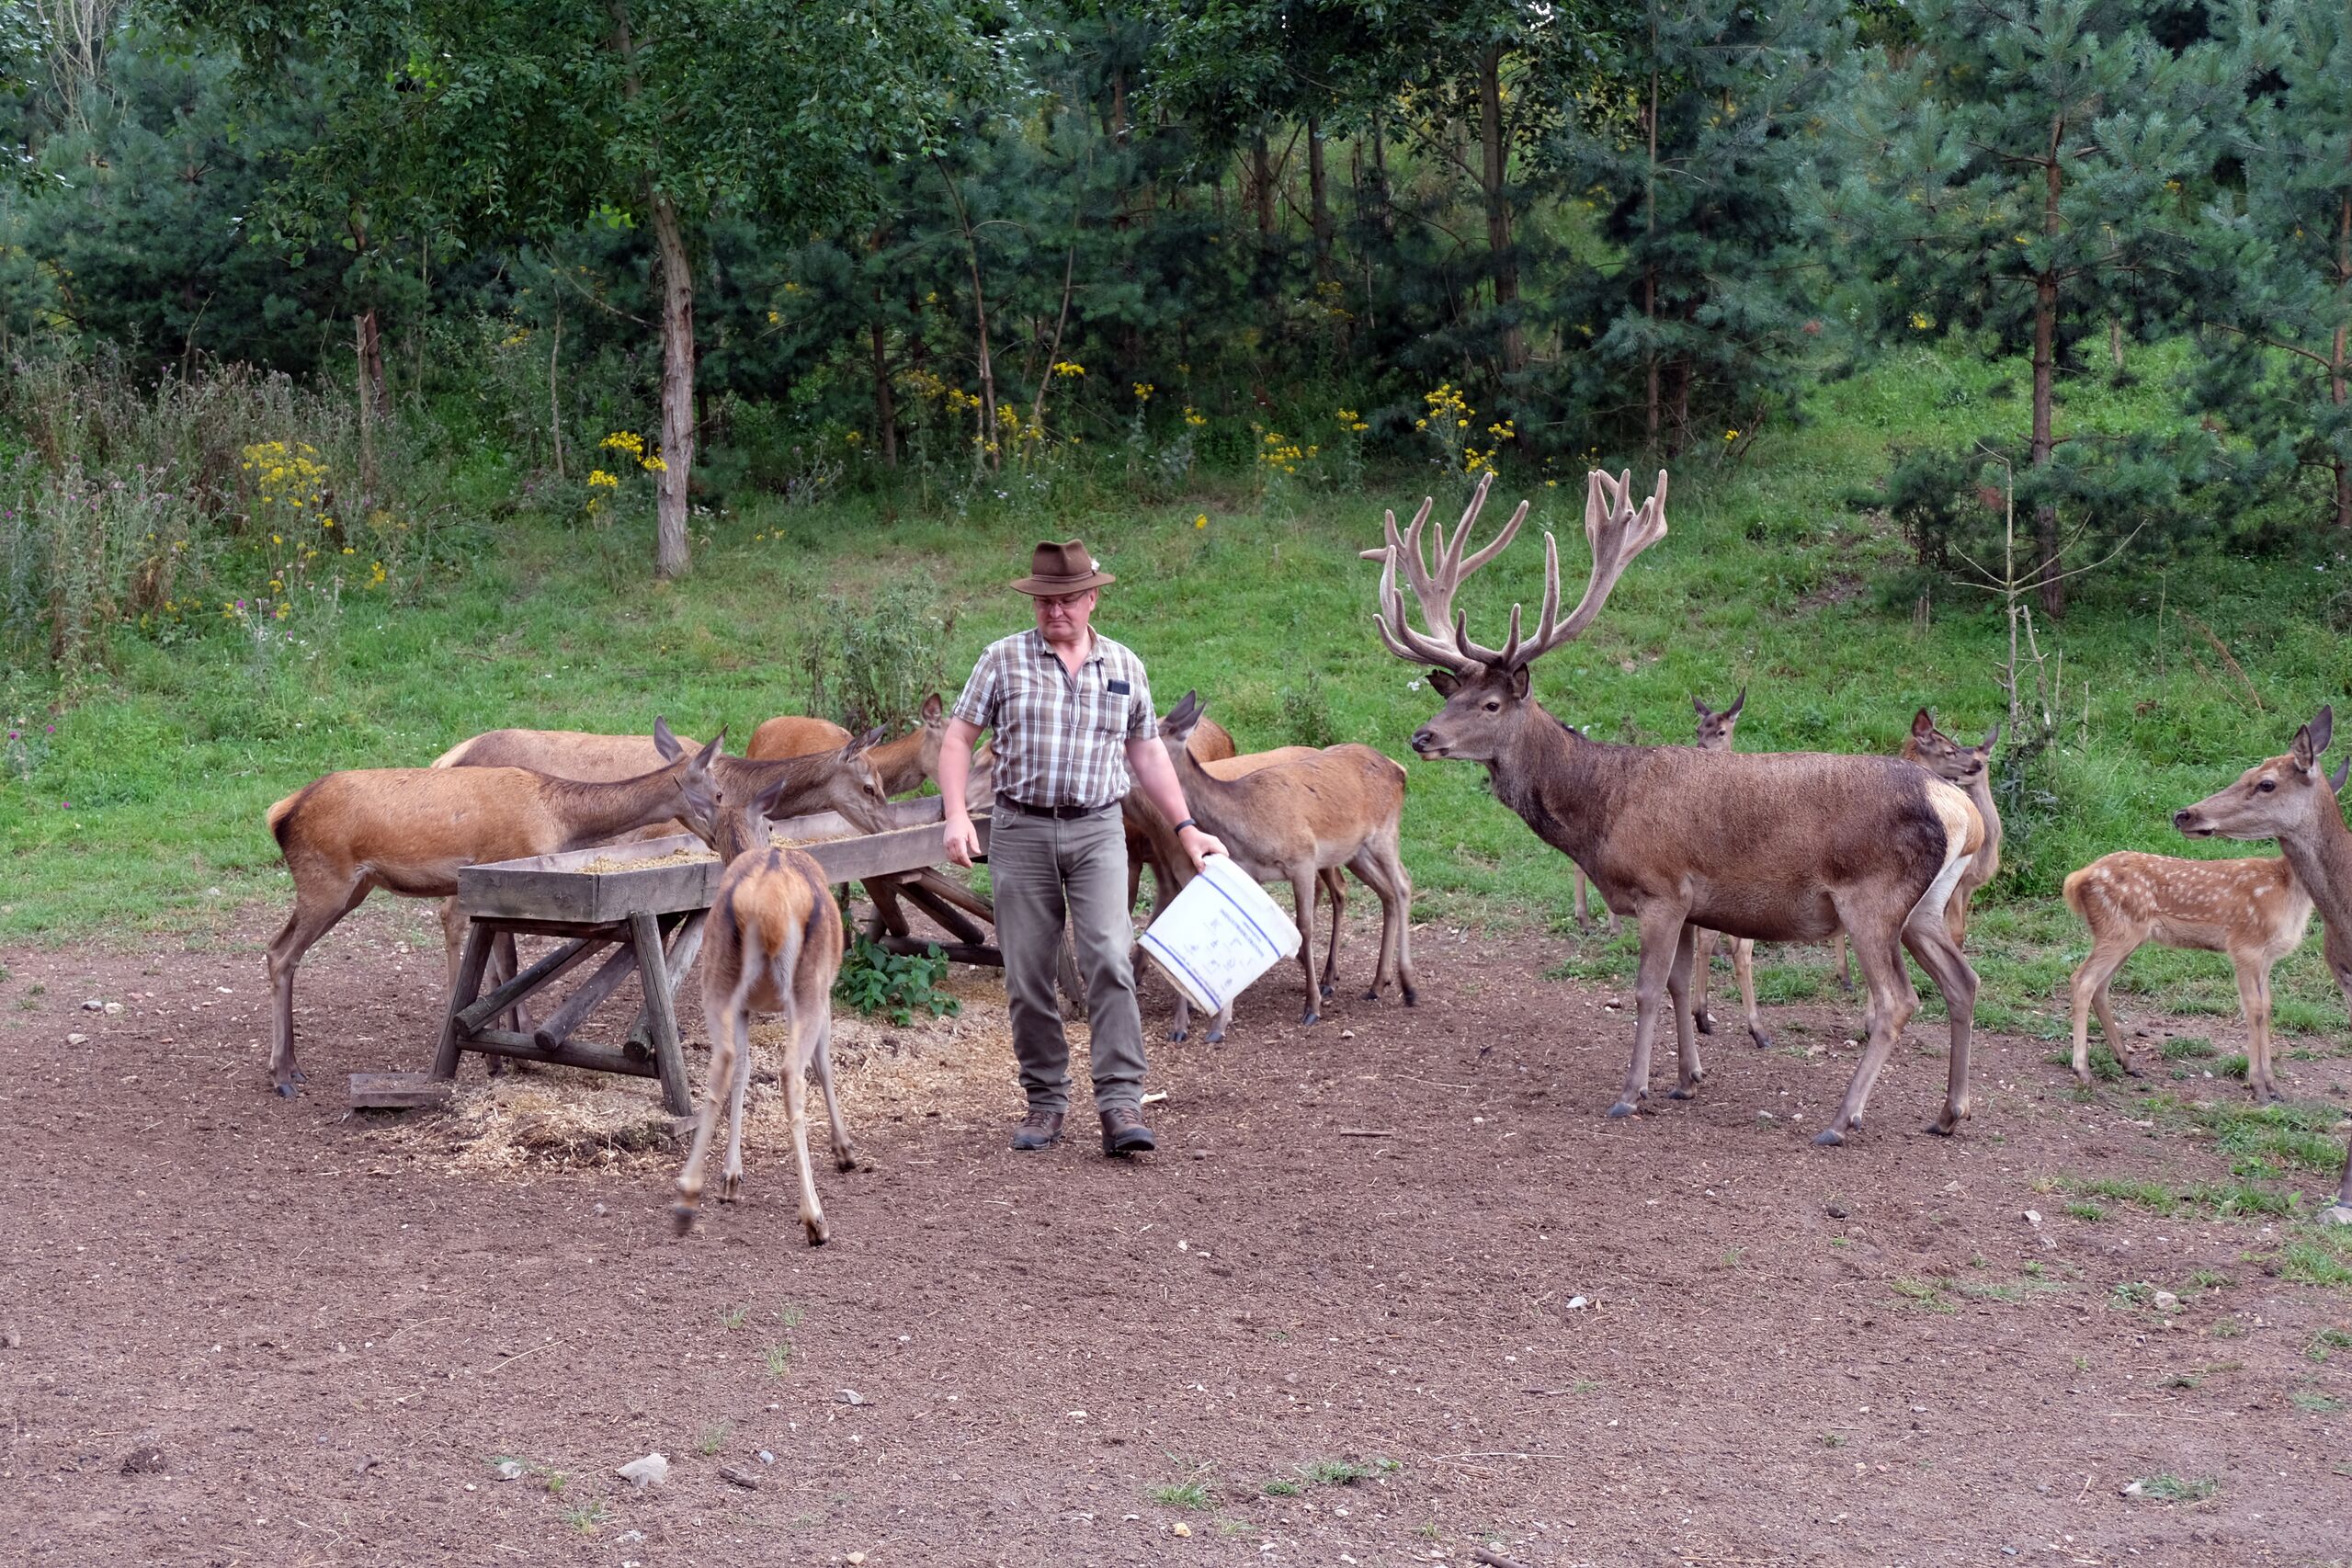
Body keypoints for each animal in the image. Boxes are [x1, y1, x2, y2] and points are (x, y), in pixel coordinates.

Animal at [261, 721, 724, 1098]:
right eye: (719, 792)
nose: (720, 840)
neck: (558, 820)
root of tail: (279, 813)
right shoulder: (506, 869)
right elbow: (511, 964)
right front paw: (512, 1055)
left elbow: (503, 966)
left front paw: (499, 1054)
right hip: (327, 882)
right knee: (280, 952)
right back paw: (283, 1075)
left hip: (352, 888)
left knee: (278, 948)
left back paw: (289, 1068)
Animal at [671, 774, 855, 1245]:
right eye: (771, 824)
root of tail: (768, 905)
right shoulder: (825, 994)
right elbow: (824, 1063)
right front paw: (845, 1152)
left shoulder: (744, 1008)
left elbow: (743, 1069)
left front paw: (731, 1177)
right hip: (806, 987)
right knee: (792, 1073)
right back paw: (815, 1218)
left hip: (716, 980)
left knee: (722, 1062)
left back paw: (687, 1200)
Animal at [1155, 692, 1417, 1043]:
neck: (1246, 821)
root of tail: (1399, 768)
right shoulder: (1248, 870)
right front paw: (1219, 1026)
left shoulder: (1302, 859)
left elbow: (1304, 927)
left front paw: (1312, 1008)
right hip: (1355, 851)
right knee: (1386, 892)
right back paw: (1377, 984)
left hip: (1384, 833)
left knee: (1403, 884)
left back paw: (1408, 986)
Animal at [1365, 469, 1985, 1145]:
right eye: (1451, 695)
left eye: (1491, 704)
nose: (1422, 737)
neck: (1600, 808)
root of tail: (1960, 810)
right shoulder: (1693, 901)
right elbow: (1680, 985)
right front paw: (1687, 1079)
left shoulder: (1660, 888)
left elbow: (1643, 989)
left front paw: (1629, 1092)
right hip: (1926, 907)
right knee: (1963, 982)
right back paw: (1949, 1113)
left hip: (1871, 897)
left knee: (1899, 1000)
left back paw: (1841, 1118)